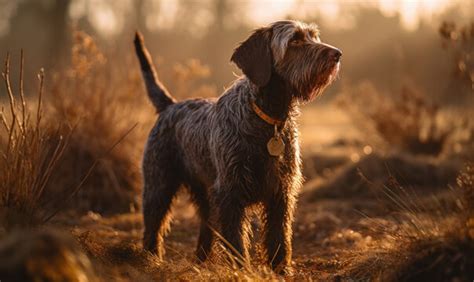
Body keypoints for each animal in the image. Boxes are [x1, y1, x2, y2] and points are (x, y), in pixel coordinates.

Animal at [133, 19, 340, 274]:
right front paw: (242, 269)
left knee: (205, 227)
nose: (337, 54)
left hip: (204, 193)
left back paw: (201, 261)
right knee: (153, 227)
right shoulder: (231, 193)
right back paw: (151, 259)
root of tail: (169, 106)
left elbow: (279, 235)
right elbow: (235, 239)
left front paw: (280, 268)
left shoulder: (281, 191)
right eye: (295, 40)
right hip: (158, 186)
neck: (267, 120)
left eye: (313, 36)